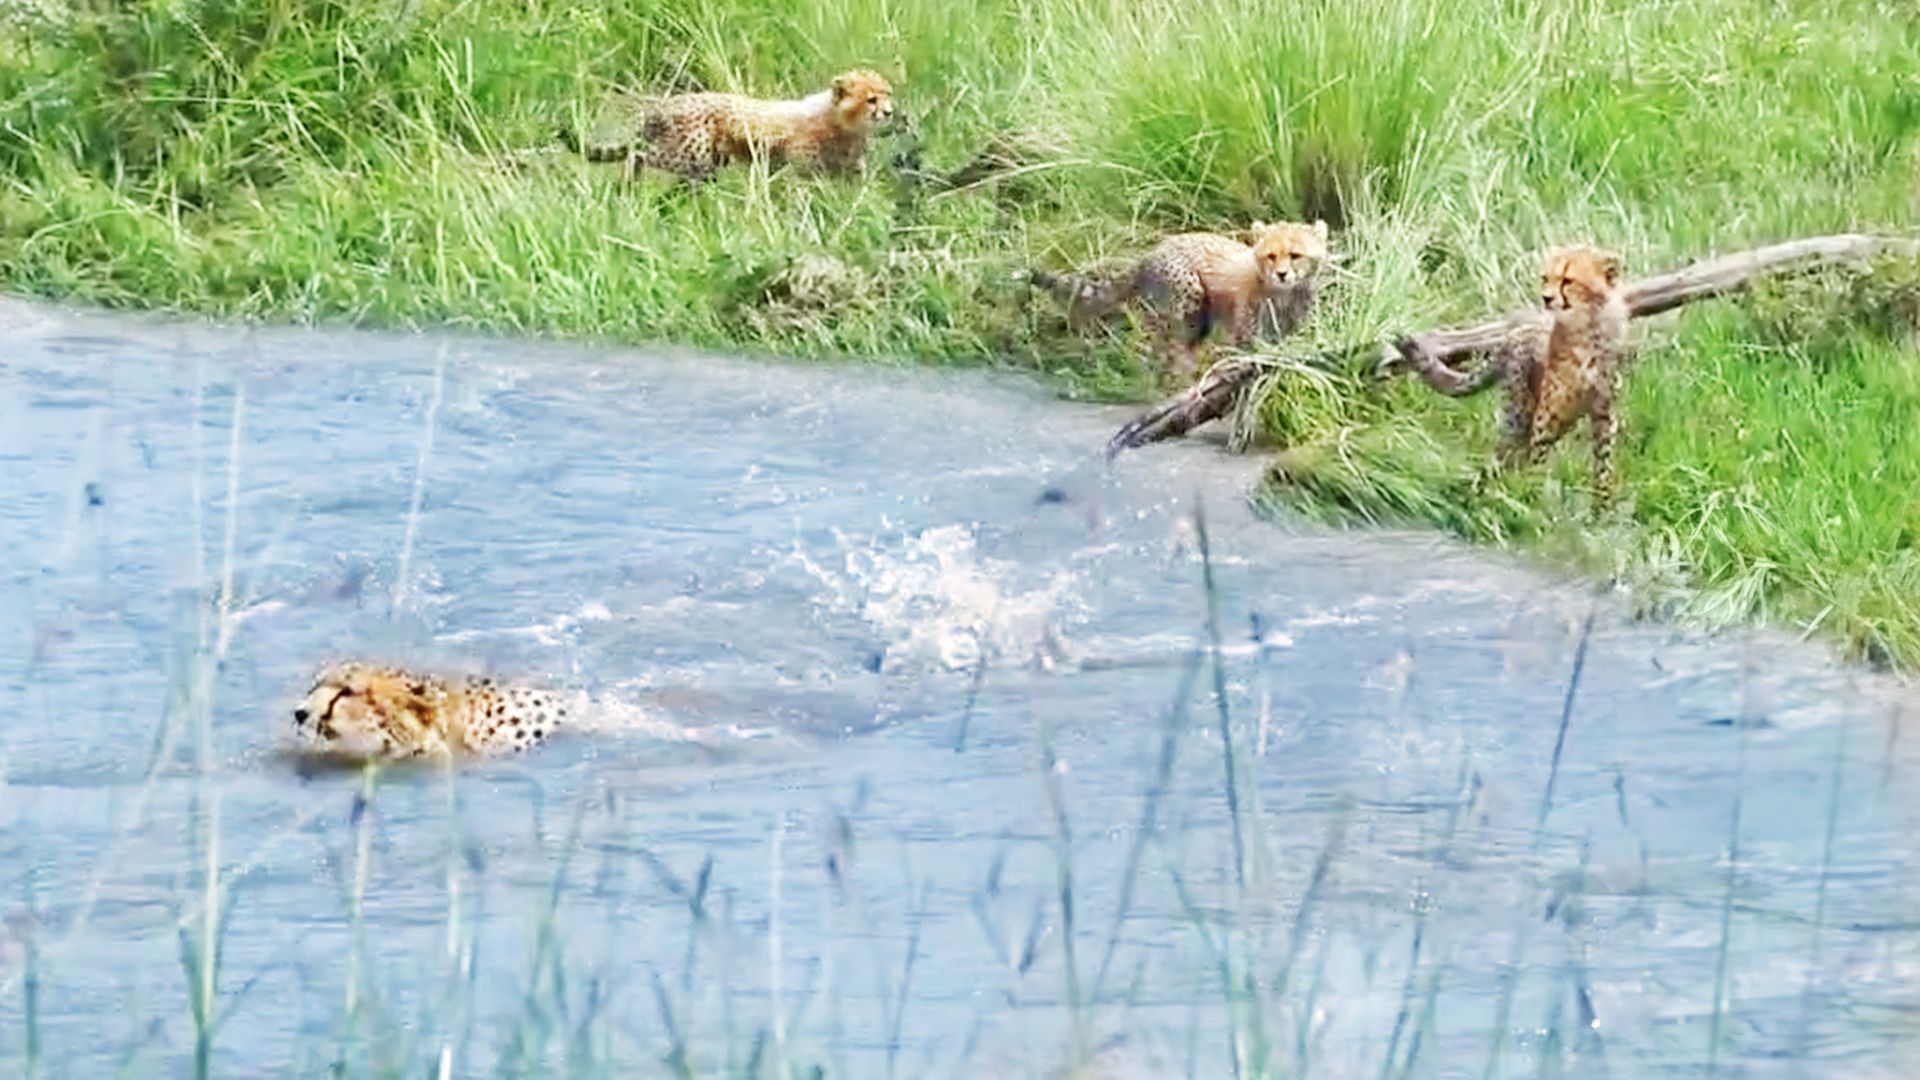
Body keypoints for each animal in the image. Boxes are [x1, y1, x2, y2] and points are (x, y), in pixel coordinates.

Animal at [557, 69, 895, 182]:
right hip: (691, 156)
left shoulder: (849, 171)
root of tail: (663, 106)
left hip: (707, 162)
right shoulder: (800, 168)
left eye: (888, 93)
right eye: (871, 99)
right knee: (637, 154)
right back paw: (627, 181)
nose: (890, 112)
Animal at [1026, 219, 1329, 379]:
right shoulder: (1245, 338)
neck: (1283, 294)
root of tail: (1150, 253)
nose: (1282, 274)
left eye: (1296, 255)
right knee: (1174, 347)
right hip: (1189, 296)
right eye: (1271, 256)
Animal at [1390, 245, 1632, 499]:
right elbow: (1538, 464)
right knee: (1503, 457)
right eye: (1545, 278)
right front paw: (1534, 498)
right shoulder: (1547, 417)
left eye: (1568, 280)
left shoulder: (1604, 415)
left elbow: (1603, 471)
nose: (1545, 298)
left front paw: (1602, 505)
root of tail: (1512, 335)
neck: (1588, 331)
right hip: (1519, 414)